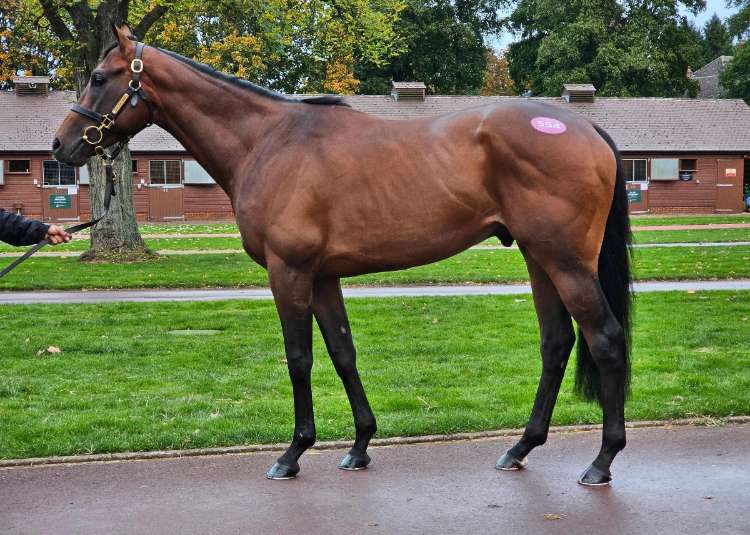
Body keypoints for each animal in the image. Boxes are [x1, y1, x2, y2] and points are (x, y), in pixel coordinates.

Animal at [52, 24, 632, 486]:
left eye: (99, 77)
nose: (62, 145)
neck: (268, 141)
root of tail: (586, 129)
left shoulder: (289, 273)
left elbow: (299, 357)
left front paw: (292, 453)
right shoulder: (323, 277)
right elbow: (342, 352)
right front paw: (359, 446)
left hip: (565, 262)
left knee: (604, 339)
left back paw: (603, 461)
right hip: (539, 259)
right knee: (556, 343)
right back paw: (520, 447)